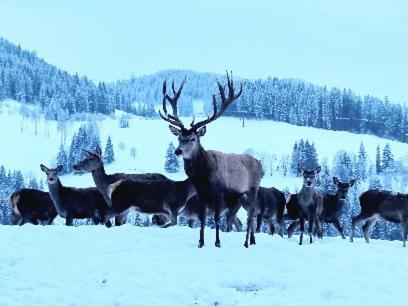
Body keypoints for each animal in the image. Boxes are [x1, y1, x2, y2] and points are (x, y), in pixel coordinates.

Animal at [159, 72, 262, 249]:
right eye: (179, 138)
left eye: (193, 138)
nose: (178, 151)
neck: (204, 178)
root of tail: (260, 165)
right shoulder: (201, 195)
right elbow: (202, 219)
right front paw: (201, 242)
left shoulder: (219, 193)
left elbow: (215, 219)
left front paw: (217, 242)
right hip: (240, 197)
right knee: (249, 217)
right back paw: (253, 241)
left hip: (253, 189)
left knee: (250, 216)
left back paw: (247, 243)